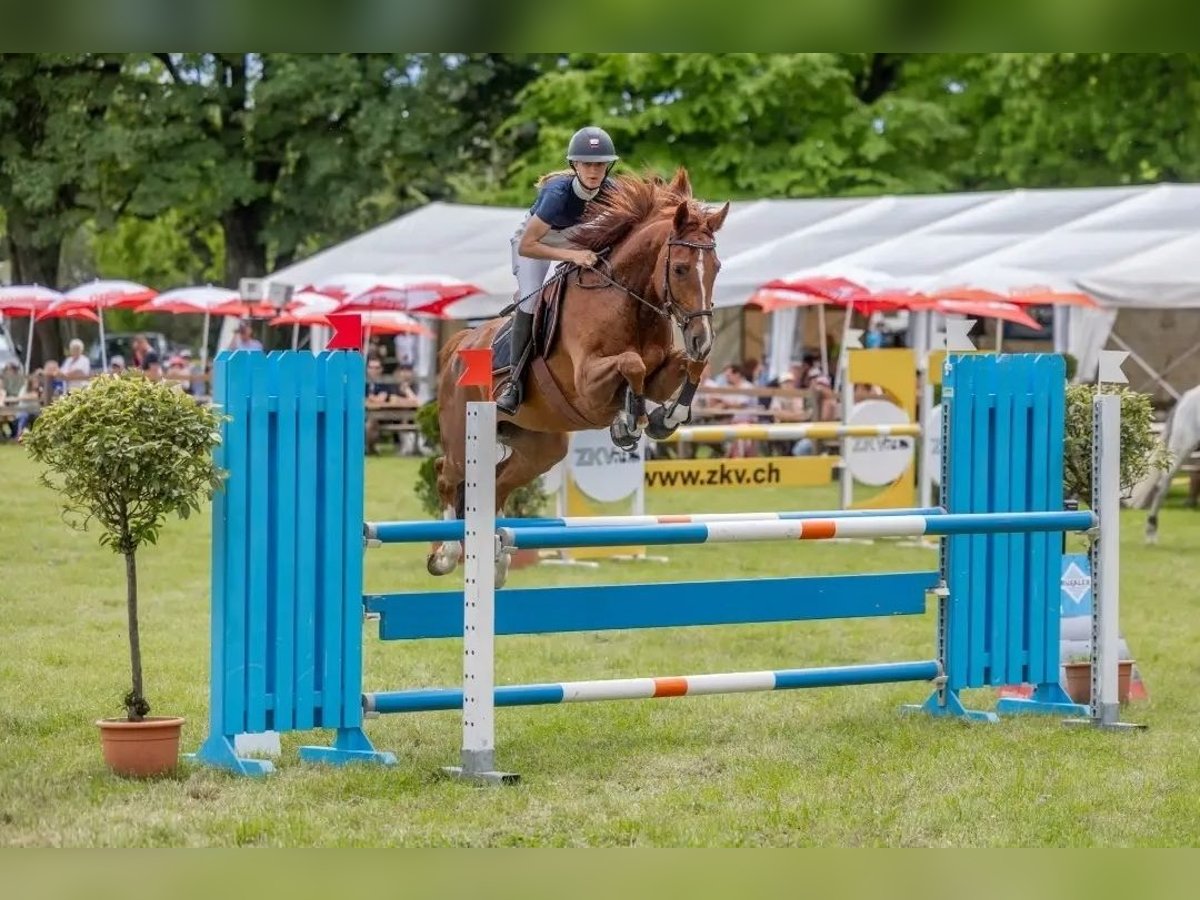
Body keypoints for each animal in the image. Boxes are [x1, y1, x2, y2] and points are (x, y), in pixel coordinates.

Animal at [432, 168, 729, 578]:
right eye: (681, 268)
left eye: (717, 268)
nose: (701, 339)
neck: (629, 300)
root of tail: (459, 347)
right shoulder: (587, 383)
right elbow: (631, 364)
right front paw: (630, 421)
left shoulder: (661, 373)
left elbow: (689, 367)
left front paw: (665, 418)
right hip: (464, 434)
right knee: (447, 473)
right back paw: (445, 553)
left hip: (541, 448)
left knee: (497, 485)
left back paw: (497, 559)